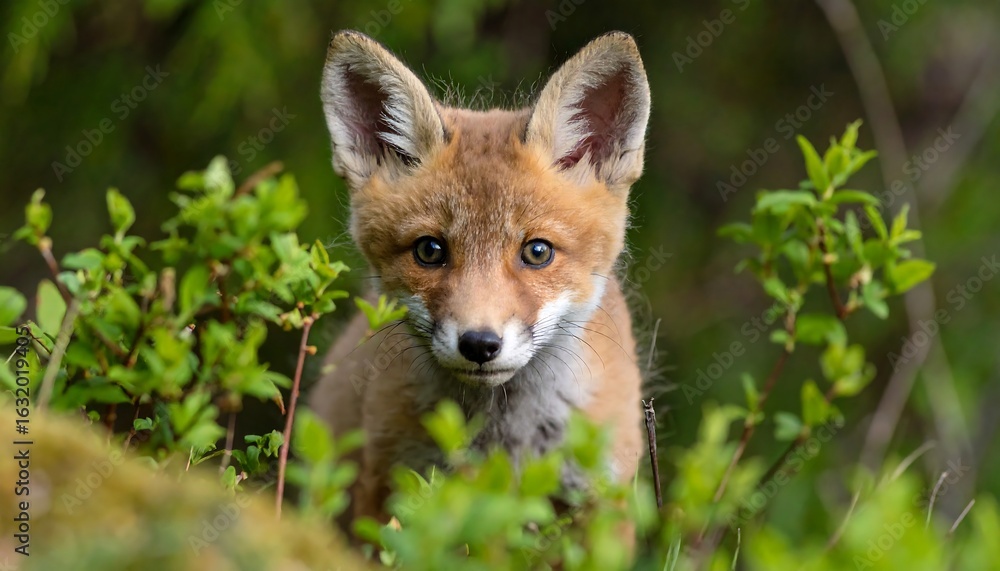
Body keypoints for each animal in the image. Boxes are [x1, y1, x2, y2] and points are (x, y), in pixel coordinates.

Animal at [309, 29, 651, 526]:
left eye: (537, 252)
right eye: (430, 251)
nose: (479, 344)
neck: (503, 439)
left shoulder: (602, 495)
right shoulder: (388, 485)